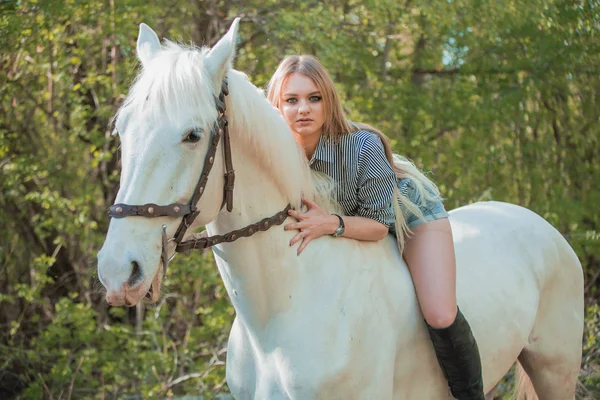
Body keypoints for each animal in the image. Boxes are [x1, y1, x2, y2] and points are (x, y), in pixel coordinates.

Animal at [97, 18, 580, 400]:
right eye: (122, 128)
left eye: (193, 135)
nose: (118, 273)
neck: (279, 316)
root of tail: (534, 220)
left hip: (556, 370)